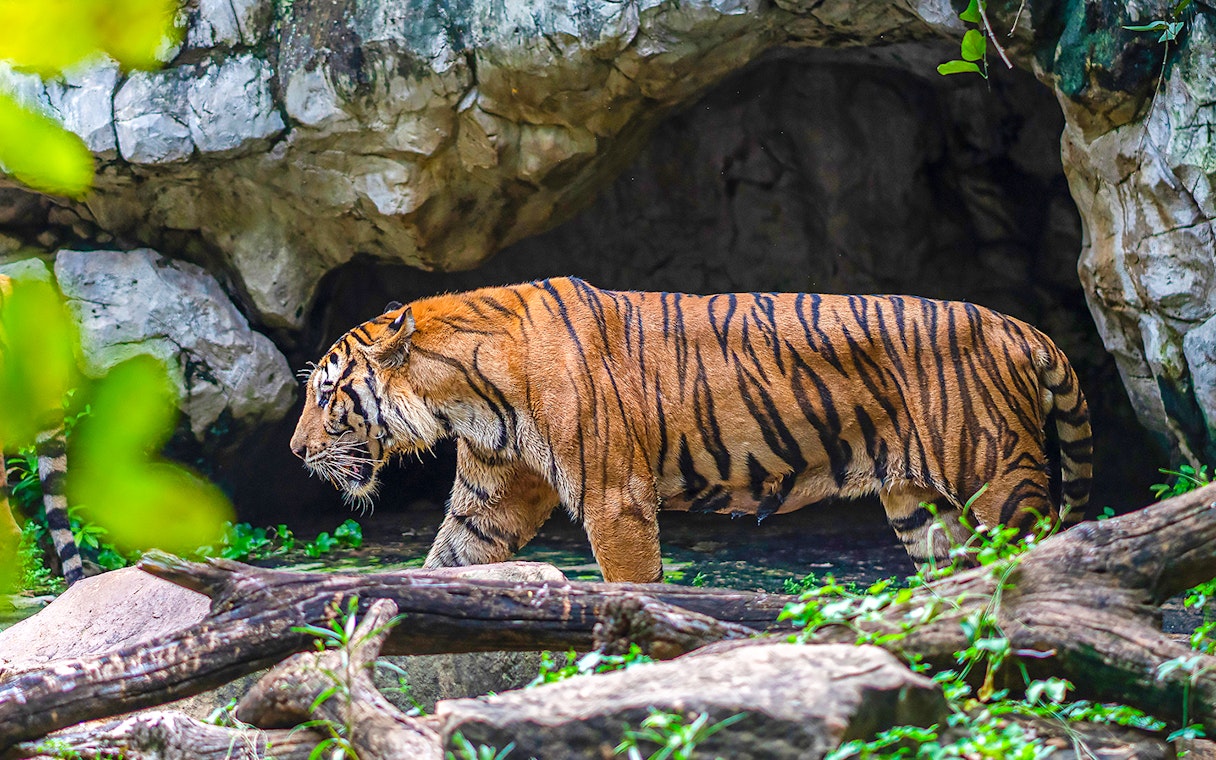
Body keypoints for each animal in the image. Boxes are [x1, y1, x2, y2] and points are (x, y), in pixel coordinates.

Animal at [291, 277, 1092, 583]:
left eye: (328, 392)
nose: (296, 451)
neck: (463, 395)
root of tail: (1018, 327)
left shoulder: (614, 497)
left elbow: (631, 585)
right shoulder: (493, 499)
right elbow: (449, 561)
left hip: (999, 482)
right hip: (921, 509)